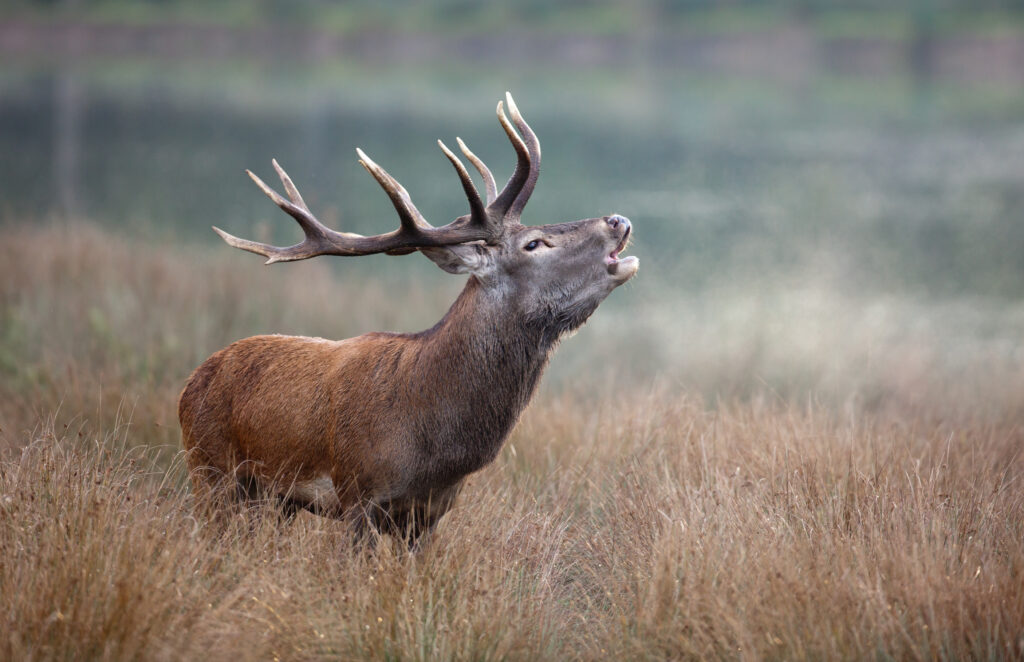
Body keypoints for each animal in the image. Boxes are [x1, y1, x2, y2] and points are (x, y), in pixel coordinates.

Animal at [180, 94, 634, 549]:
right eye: (534, 244)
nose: (618, 220)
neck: (433, 440)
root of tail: (191, 381)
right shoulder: (358, 493)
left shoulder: (430, 513)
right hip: (210, 469)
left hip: (276, 499)